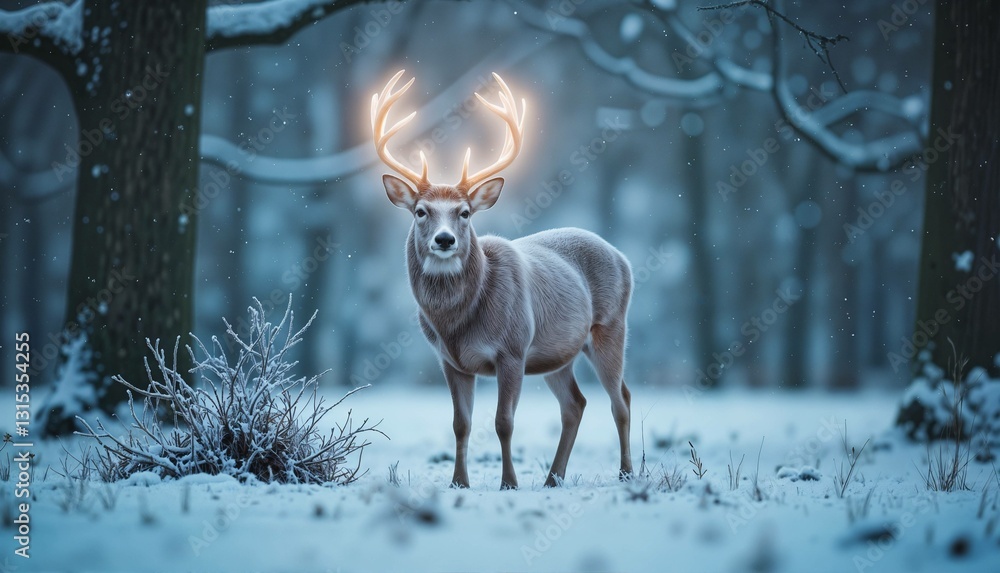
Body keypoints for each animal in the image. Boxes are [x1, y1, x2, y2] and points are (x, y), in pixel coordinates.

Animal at [371, 70, 633, 490]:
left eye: (464, 212)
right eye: (420, 211)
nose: (444, 239)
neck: (459, 320)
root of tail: (623, 258)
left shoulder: (512, 348)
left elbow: (503, 422)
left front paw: (508, 482)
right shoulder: (450, 361)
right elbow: (460, 424)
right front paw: (458, 482)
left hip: (610, 327)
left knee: (620, 399)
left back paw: (625, 473)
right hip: (557, 353)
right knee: (576, 403)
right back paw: (553, 478)